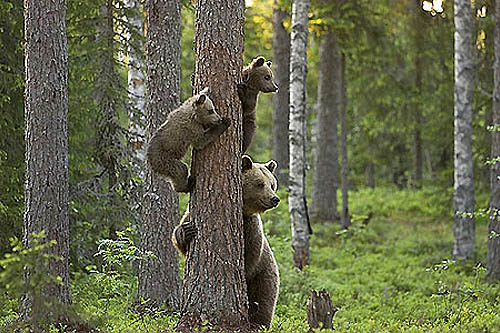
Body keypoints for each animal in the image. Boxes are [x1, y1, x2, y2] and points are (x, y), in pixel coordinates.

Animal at [173, 155, 282, 330]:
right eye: (260, 184)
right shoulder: (190, 213)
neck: (243, 211)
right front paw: (187, 231)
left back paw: (257, 322)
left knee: (264, 301)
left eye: (272, 184)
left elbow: (250, 257)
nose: (274, 199)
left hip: (266, 275)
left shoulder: (251, 229)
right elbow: (181, 237)